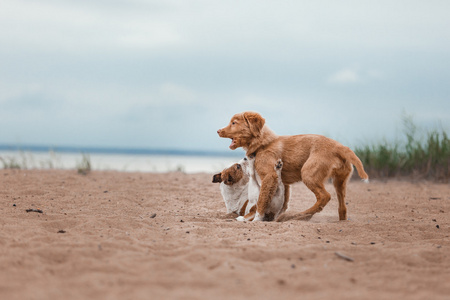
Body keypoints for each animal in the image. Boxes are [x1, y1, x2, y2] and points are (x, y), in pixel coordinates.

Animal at [216, 111, 368, 221]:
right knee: (342, 206)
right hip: (340, 180)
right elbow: (283, 203)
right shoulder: (284, 182)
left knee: (325, 196)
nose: (218, 131)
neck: (263, 144)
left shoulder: (269, 176)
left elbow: (262, 200)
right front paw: (276, 217)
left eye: (234, 123)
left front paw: (257, 218)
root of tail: (341, 147)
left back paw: (303, 214)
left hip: (308, 173)